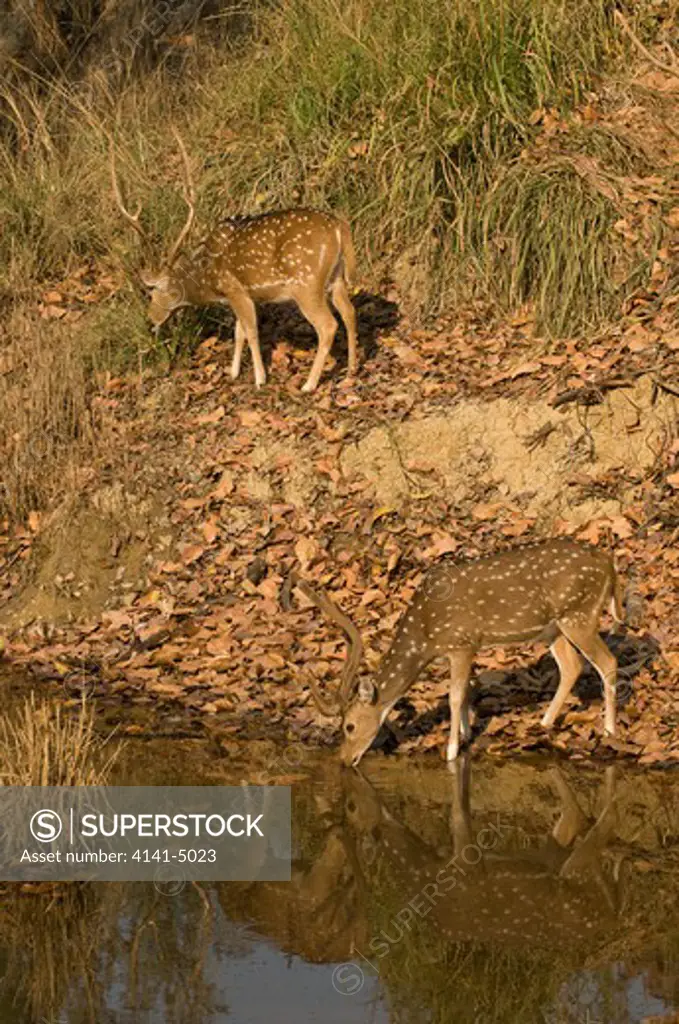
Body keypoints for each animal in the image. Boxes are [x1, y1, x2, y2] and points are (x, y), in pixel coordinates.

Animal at [109, 131, 358, 391]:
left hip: (307, 282)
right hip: (336, 277)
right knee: (349, 312)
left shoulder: (235, 289)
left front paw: (259, 378)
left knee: (328, 325)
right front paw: (234, 372)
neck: (210, 281)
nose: (151, 320)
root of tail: (339, 227)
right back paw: (352, 368)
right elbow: (239, 332)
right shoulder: (239, 296)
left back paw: (309, 384)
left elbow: (250, 330)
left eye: (154, 291)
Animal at [284, 540, 622, 765]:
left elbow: (455, 695)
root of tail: (610, 566)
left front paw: (450, 751)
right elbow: (466, 691)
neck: (425, 634)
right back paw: (543, 723)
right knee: (571, 666)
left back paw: (609, 730)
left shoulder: (461, 642)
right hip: (554, 628)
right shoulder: (462, 648)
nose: (344, 760)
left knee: (608, 661)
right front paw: (467, 734)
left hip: (579, 614)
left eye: (349, 726)